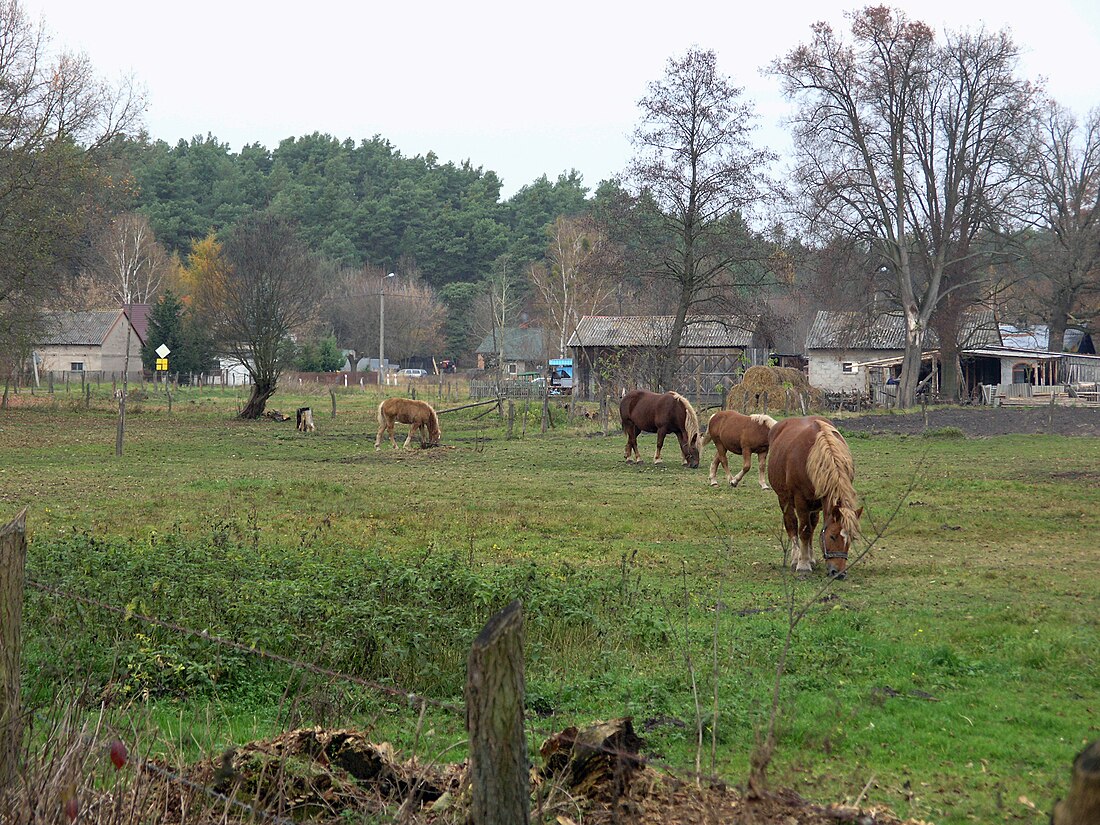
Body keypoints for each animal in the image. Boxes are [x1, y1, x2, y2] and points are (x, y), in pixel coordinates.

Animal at [765, 415, 858, 576]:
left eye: (851, 538)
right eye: (833, 536)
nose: (839, 573)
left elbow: (812, 529)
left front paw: (809, 559)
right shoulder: (801, 501)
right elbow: (804, 531)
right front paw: (803, 564)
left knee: (812, 525)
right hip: (785, 500)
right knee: (792, 525)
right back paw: (796, 558)